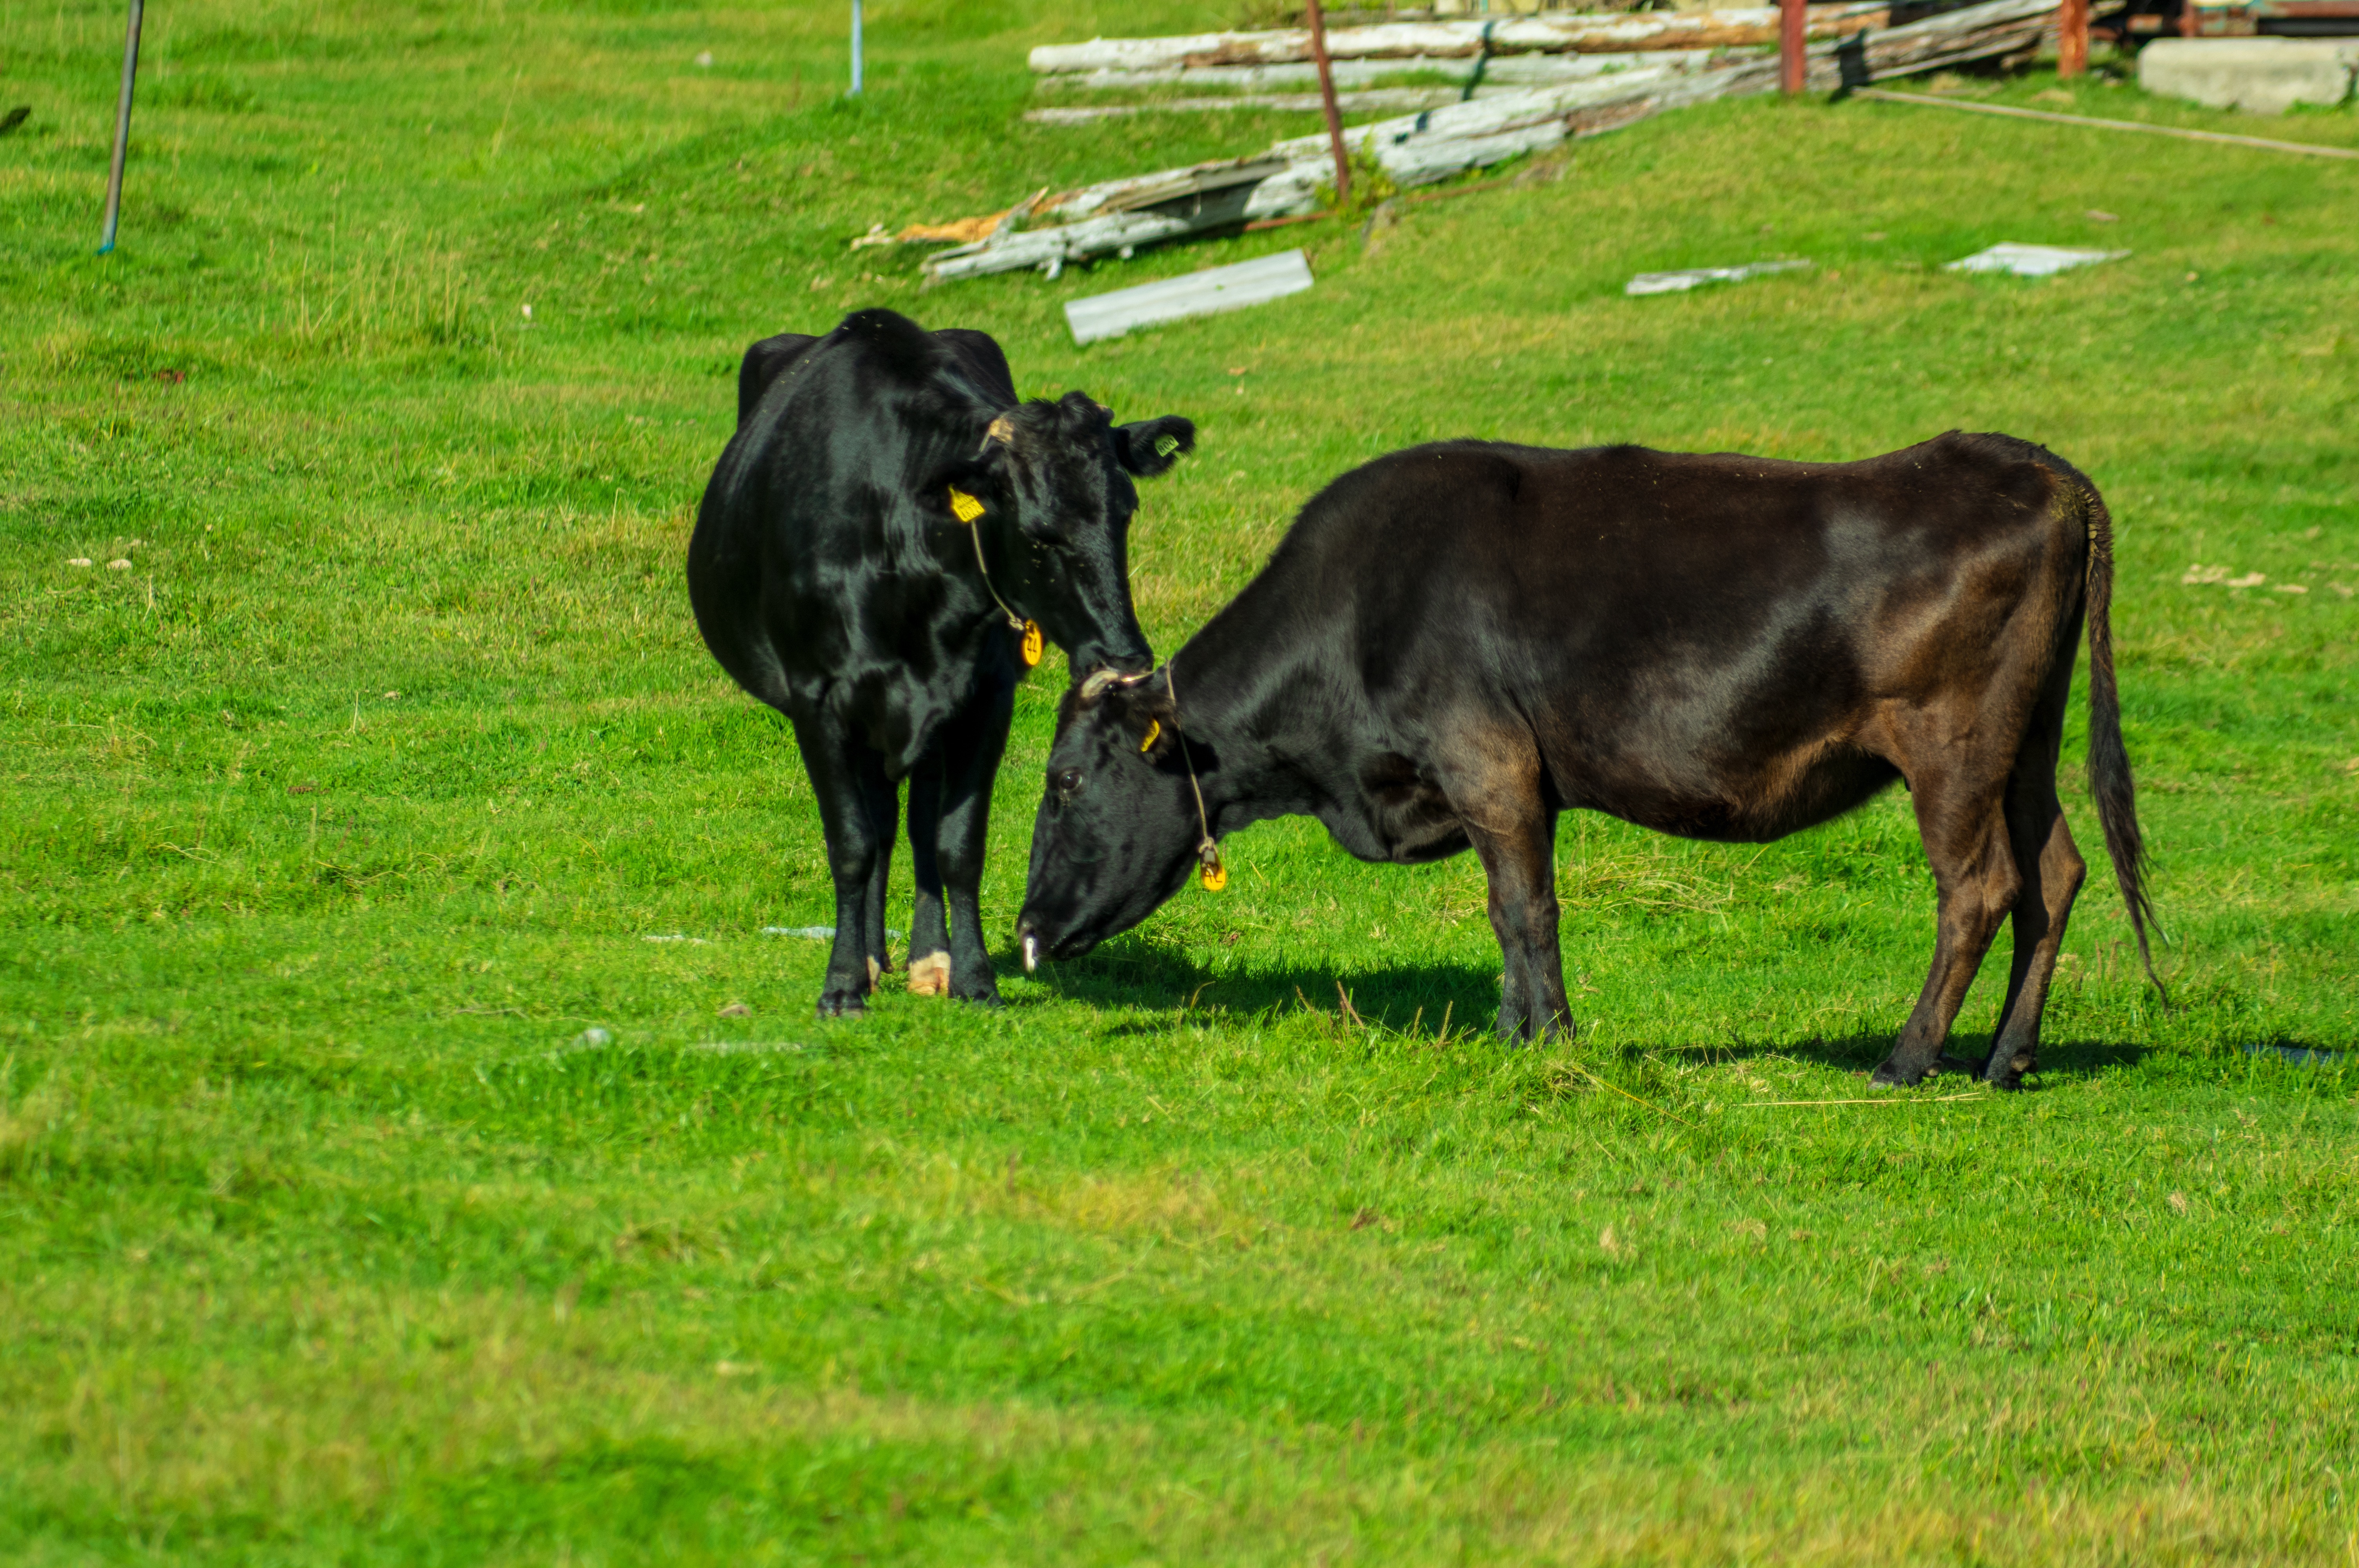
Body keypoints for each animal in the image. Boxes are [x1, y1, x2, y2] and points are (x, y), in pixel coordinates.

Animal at [689, 309, 1189, 1014]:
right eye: (1037, 534)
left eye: (1126, 512)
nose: (1124, 658)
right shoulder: (818, 700)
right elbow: (851, 844)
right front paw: (843, 983)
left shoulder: (985, 697)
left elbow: (957, 845)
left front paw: (973, 977)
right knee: (879, 825)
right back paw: (872, 958)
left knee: (915, 824)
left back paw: (928, 958)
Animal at [1014, 429, 2161, 1089]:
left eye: (1065, 782)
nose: (1024, 931)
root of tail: (2026, 462)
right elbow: (1507, 911)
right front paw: (1513, 1030)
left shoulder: (1488, 764)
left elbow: (1523, 908)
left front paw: (1546, 1039)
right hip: (2027, 741)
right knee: (2055, 872)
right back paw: (2006, 1059)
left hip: (1952, 745)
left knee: (1979, 888)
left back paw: (1909, 1057)